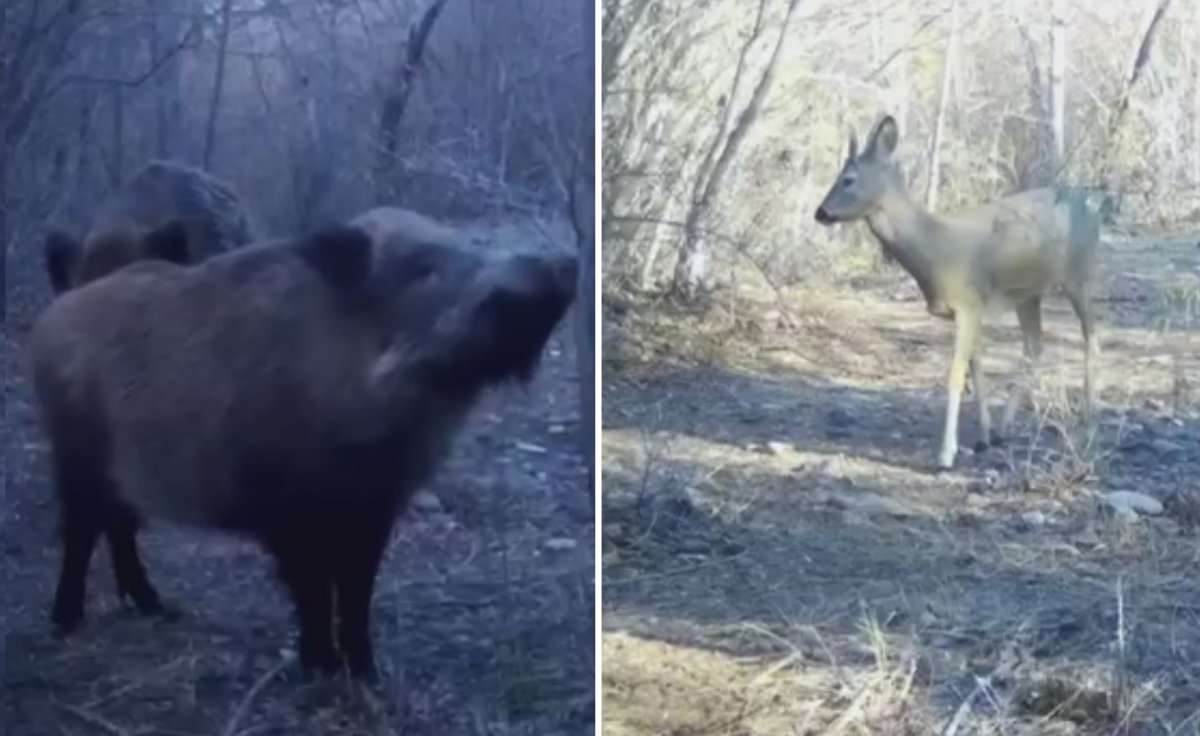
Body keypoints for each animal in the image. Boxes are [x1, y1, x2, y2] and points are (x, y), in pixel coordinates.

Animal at [811, 114, 1099, 470]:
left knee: (1091, 338)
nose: (820, 213)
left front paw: (946, 454)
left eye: (848, 179)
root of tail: (1092, 203)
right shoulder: (970, 307)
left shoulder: (968, 304)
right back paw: (1004, 429)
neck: (937, 250)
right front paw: (984, 436)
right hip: (1027, 294)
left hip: (1080, 275)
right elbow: (976, 370)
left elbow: (956, 374)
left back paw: (1090, 418)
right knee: (1034, 346)